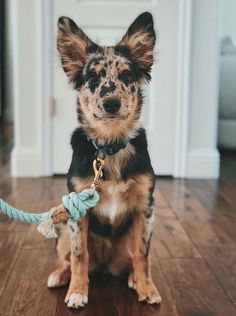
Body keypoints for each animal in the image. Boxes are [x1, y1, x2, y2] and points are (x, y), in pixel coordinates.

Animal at [46, 11, 160, 308]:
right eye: (93, 79)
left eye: (127, 75)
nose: (111, 104)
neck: (109, 147)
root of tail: (106, 264)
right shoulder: (77, 210)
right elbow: (79, 255)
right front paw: (77, 291)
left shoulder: (145, 207)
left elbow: (143, 254)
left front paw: (147, 287)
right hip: (63, 231)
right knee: (69, 259)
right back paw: (60, 276)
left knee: (132, 259)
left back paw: (133, 279)